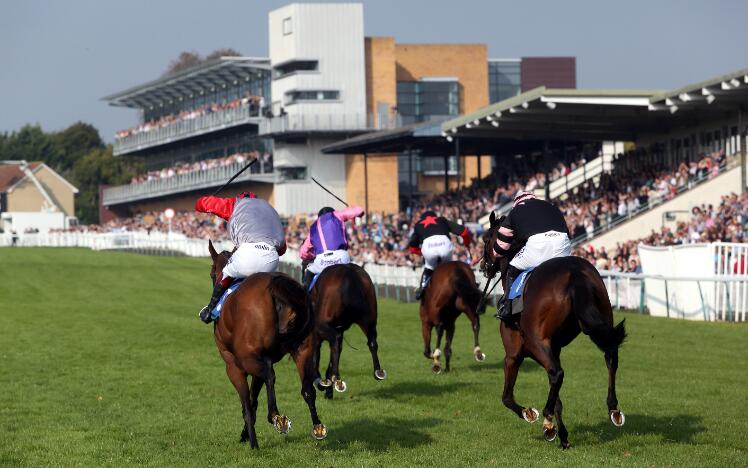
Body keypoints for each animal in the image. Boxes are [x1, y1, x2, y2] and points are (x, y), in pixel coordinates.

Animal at [206, 241, 326, 450]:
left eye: (213, 273)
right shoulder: (261, 361)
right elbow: (253, 401)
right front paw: (245, 434)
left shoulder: (234, 366)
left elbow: (247, 403)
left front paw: (251, 440)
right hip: (304, 350)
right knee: (308, 390)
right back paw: (317, 427)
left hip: (248, 358)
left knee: (271, 376)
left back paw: (276, 417)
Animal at [308, 264, 386, 398]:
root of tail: (349, 273)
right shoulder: (339, 329)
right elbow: (336, 351)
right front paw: (327, 385)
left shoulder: (319, 329)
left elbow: (319, 352)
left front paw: (323, 383)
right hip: (368, 319)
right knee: (372, 341)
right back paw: (377, 372)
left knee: (333, 343)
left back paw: (336, 379)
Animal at [480, 212, 624, 450]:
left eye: (485, 239)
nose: (483, 265)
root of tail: (575, 274)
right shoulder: (552, 348)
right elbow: (557, 396)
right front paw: (563, 436)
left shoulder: (515, 353)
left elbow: (507, 397)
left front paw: (531, 414)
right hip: (601, 320)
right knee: (610, 356)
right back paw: (613, 409)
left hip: (535, 343)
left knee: (557, 373)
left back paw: (546, 420)